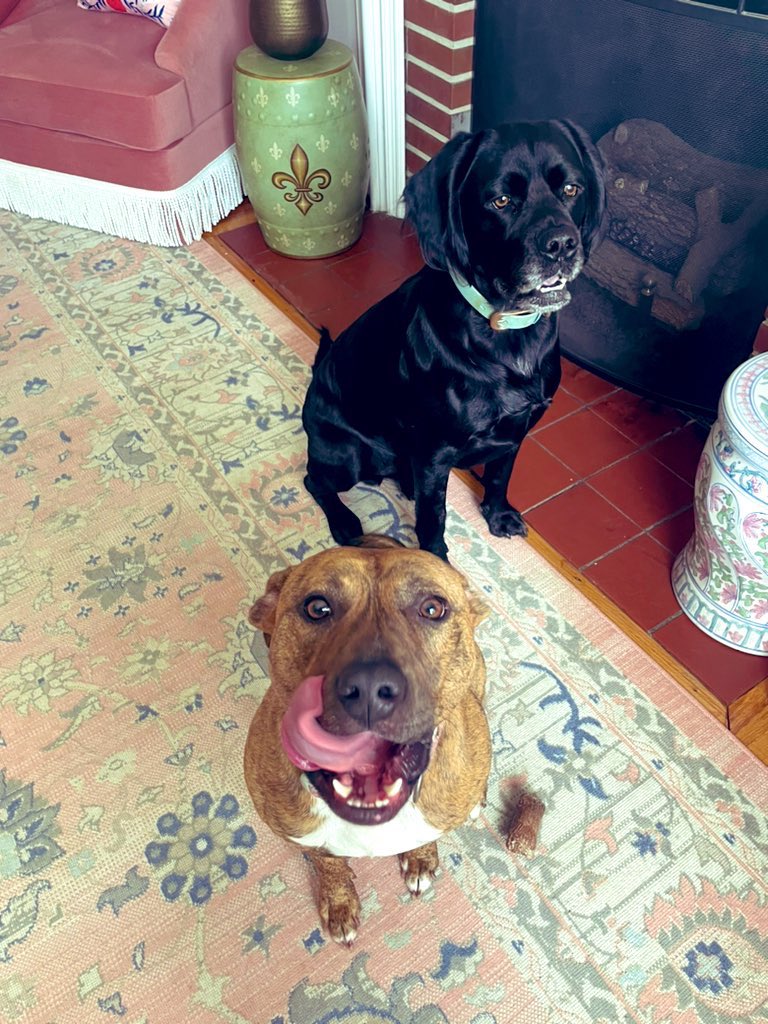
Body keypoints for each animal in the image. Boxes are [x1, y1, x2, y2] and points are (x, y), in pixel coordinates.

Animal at [243, 536, 489, 942]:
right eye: (317, 607)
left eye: (433, 608)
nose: (371, 687)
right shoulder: (305, 838)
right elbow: (328, 864)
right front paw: (339, 902)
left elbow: (426, 837)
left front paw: (420, 860)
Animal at [301, 123, 606, 565]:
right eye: (500, 200)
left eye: (570, 188)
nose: (561, 245)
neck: (508, 333)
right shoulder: (435, 452)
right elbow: (435, 516)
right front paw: (435, 562)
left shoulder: (515, 432)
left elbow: (498, 477)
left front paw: (498, 516)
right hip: (348, 456)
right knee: (314, 480)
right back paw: (345, 522)